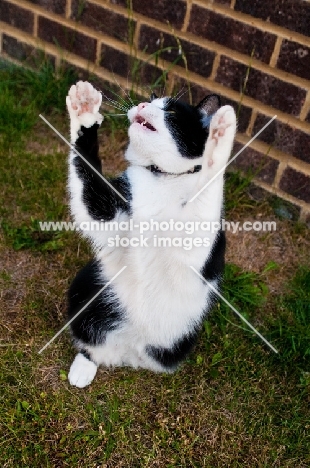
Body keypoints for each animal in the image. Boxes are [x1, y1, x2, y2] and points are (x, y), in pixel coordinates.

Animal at [65, 80, 235, 388]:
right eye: (151, 99)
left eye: (171, 110)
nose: (143, 104)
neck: (162, 177)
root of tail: (131, 351)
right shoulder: (110, 214)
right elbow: (88, 184)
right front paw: (84, 109)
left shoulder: (196, 245)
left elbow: (209, 185)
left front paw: (222, 129)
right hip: (88, 284)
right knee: (91, 341)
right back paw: (83, 369)